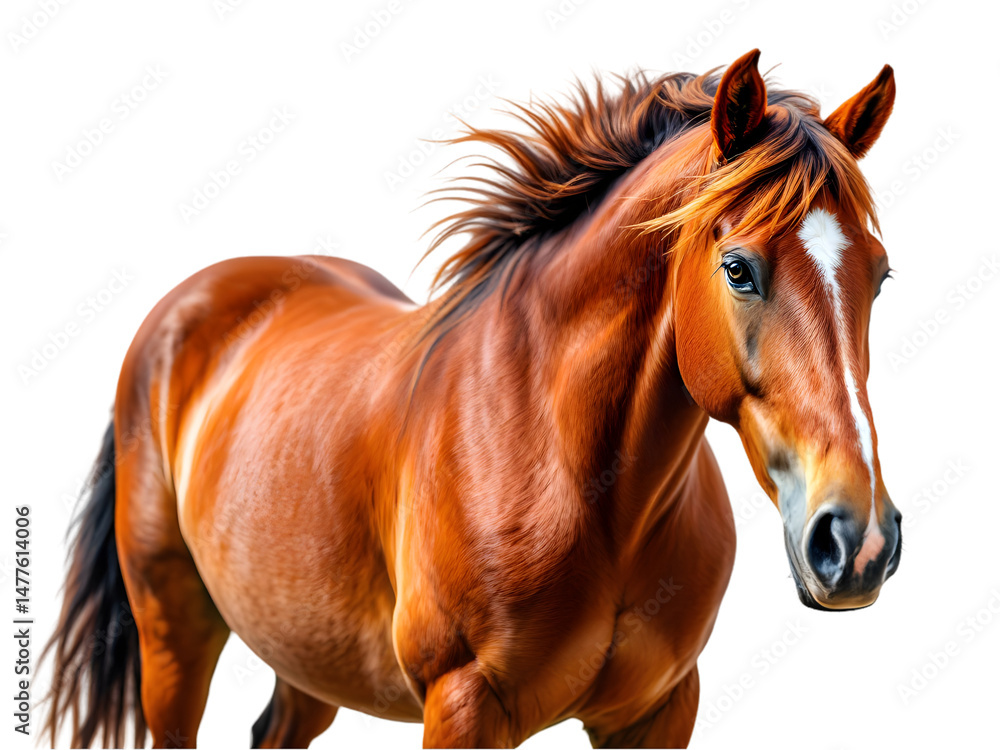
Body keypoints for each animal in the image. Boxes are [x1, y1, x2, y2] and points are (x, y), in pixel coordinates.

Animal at [43, 49, 902, 748]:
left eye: (881, 275)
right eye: (738, 269)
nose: (856, 541)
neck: (576, 477)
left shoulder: (659, 711)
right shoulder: (462, 704)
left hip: (306, 647)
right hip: (172, 632)